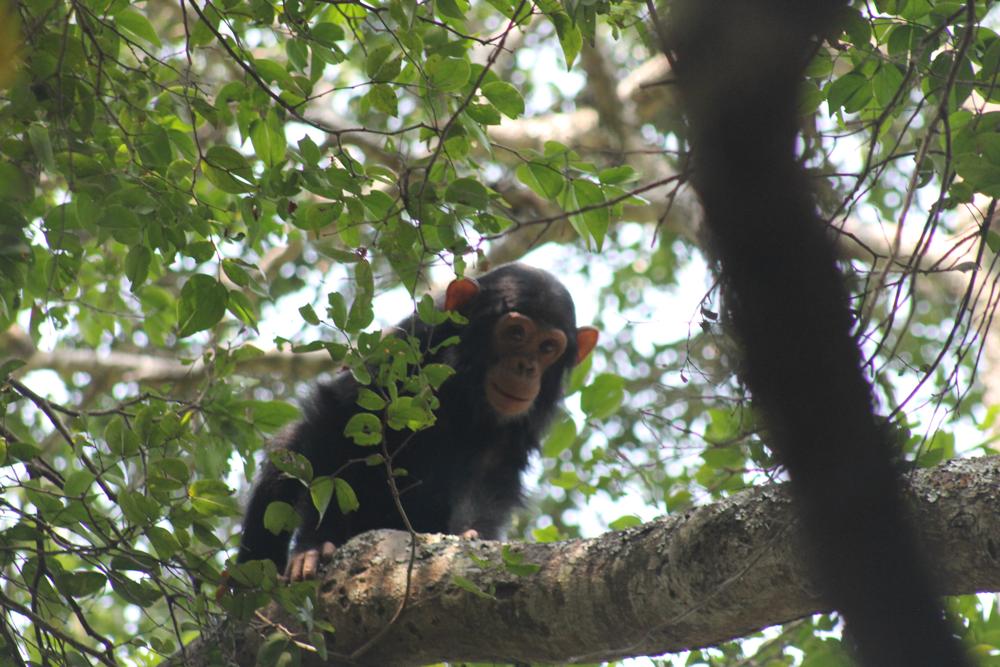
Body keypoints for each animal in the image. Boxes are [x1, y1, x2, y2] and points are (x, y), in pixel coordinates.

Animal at [236, 263, 599, 580]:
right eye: (516, 333)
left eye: (548, 347)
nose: (526, 367)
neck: (466, 390)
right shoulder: (407, 347)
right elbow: (337, 418)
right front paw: (313, 545)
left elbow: (490, 473)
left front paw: (472, 534)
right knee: (289, 450)